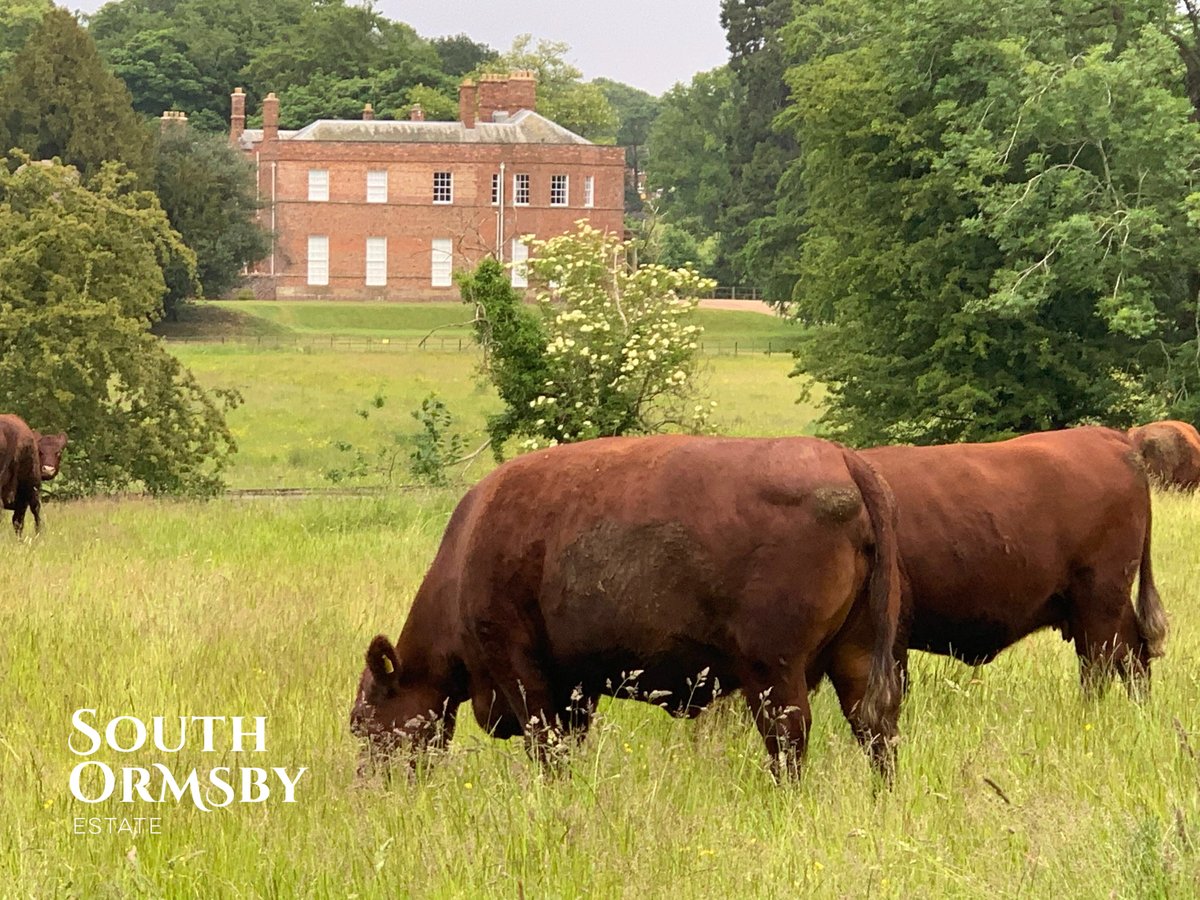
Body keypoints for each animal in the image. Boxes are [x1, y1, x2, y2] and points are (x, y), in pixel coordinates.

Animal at [351, 434, 903, 781]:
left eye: (362, 719)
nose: (370, 784)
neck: (467, 552)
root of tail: (843, 460)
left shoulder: (521, 672)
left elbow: (546, 745)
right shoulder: (575, 687)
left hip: (774, 670)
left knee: (790, 737)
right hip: (855, 654)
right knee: (875, 728)